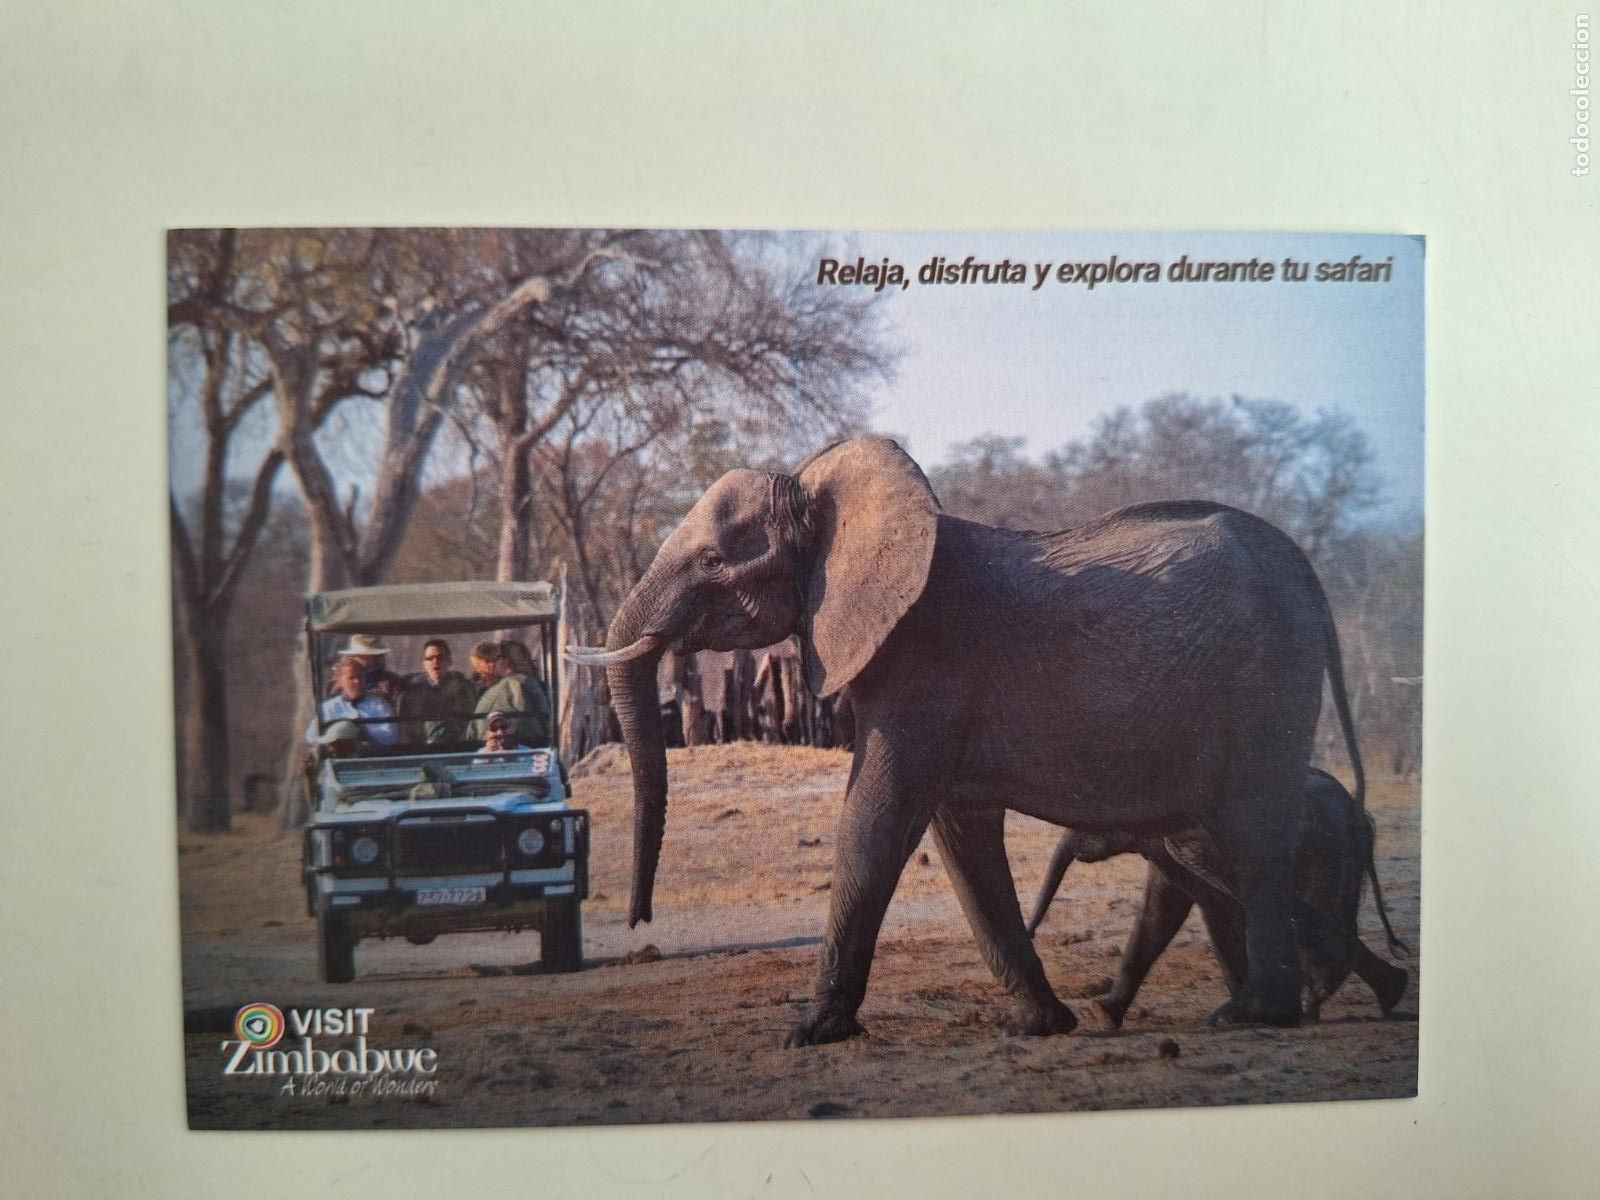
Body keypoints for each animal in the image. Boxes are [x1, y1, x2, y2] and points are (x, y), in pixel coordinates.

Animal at [568, 437, 1366, 1045]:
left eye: (711, 562)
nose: (639, 920)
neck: (821, 491)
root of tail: (1307, 572)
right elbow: (959, 838)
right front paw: (1042, 1025)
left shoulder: (922, 661)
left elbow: (878, 818)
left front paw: (810, 1034)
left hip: (1266, 680)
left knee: (1254, 832)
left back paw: (1251, 1016)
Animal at [1025, 767, 1409, 1026]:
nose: (1031, 933)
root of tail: (1357, 811)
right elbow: (1167, 909)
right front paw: (1103, 1015)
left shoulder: (1198, 839)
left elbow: (1215, 907)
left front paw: (1237, 1013)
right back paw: (1381, 993)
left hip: (1327, 850)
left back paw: (1319, 997)